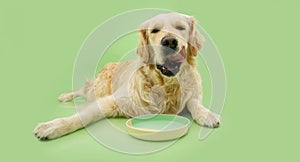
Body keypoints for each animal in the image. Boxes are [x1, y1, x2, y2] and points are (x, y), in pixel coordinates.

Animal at [33, 12, 220, 140]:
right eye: (155, 31)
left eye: (181, 28)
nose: (169, 41)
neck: (165, 84)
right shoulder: (113, 100)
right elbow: (83, 116)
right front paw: (51, 126)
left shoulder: (190, 95)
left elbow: (194, 103)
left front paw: (208, 115)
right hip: (99, 89)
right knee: (84, 89)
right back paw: (65, 96)